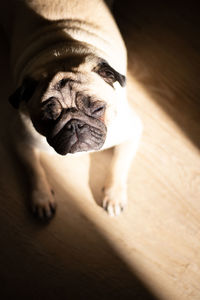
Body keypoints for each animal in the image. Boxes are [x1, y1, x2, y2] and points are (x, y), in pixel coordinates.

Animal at [2, 0, 142, 218]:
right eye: (48, 117)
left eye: (98, 109)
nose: (75, 125)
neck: (63, 57)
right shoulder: (21, 139)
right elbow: (34, 169)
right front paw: (42, 198)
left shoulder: (131, 132)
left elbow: (119, 165)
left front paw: (114, 195)